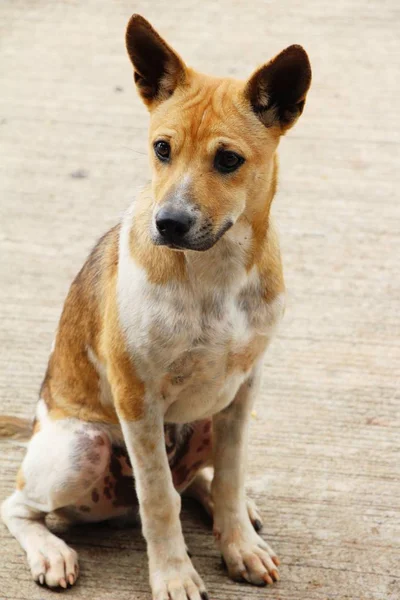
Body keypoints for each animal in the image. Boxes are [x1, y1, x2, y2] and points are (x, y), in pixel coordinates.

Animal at [0, 15, 312, 600]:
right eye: (162, 148)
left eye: (229, 160)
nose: (168, 224)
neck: (216, 273)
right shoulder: (136, 398)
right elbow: (159, 499)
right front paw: (174, 574)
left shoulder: (244, 389)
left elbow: (231, 476)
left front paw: (238, 545)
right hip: (80, 451)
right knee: (19, 504)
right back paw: (51, 552)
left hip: (210, 418)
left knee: (198, 481)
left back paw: (231, 509)